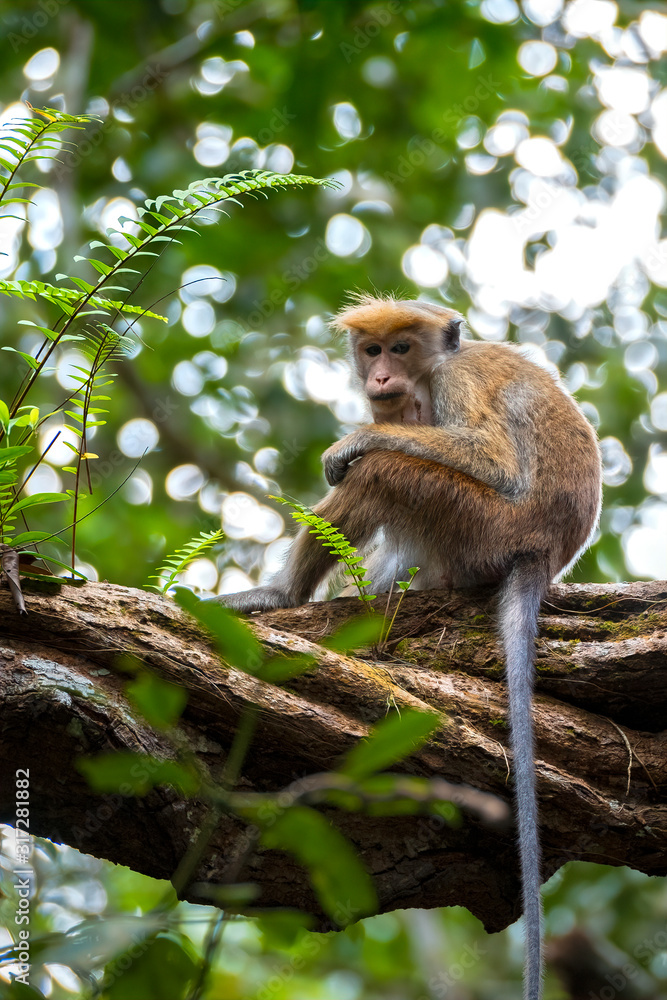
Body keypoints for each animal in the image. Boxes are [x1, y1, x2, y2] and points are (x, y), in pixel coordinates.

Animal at [216, 294, 602, 1000]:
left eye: (401, 349)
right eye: (373, 351)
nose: (381, 378)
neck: (431, 372)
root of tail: (540, 552)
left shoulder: (452, 385)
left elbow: (486, 456)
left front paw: (350, 441)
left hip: (482, 527)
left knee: (387, 470)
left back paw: (283, 592)